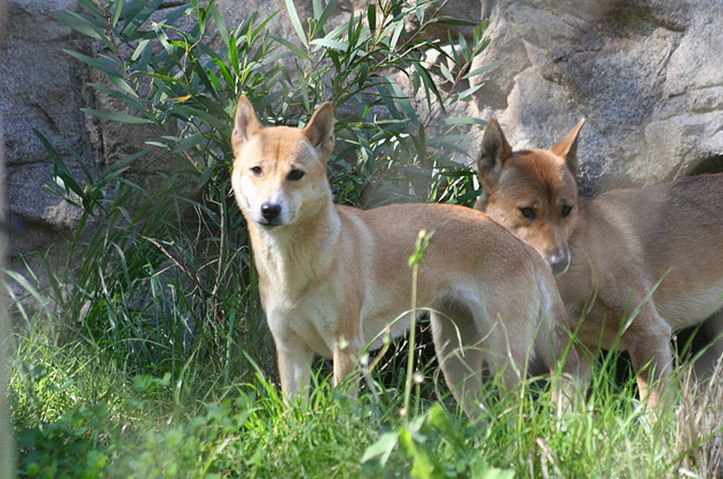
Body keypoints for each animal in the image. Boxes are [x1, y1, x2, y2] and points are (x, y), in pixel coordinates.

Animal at [229, 97, 580, 416]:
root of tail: (524, 247)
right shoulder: (290, 351)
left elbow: (343, 412)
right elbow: (294, 416)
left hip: (503, 357)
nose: (270, 209)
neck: (296, 266)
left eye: (296, 175)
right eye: (257, 170)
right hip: (455, 360)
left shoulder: (346, 350)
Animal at [476, 120, 723, 408]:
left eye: (566, 209)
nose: (559, 262)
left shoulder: (650, 333)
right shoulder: (573, 356)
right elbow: (562, 412)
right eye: (527, 211)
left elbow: (654, 411)